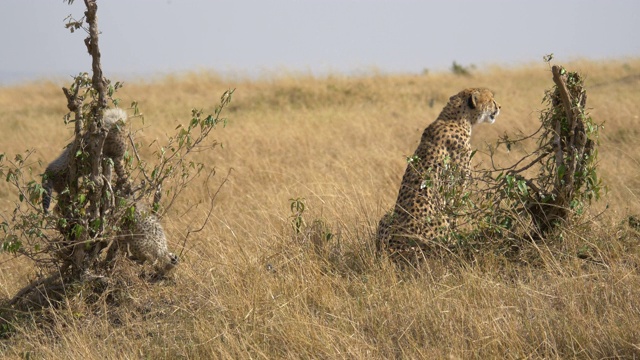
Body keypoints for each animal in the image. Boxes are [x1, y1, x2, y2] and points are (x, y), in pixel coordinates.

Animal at [378, 88, 502, 264]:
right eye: (491, 100)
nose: (499, 107)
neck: (457, 119)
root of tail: (394, 247)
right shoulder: (458, 184)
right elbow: (454, 211)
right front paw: (456, 237)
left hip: (387, 217)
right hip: (437, 222)